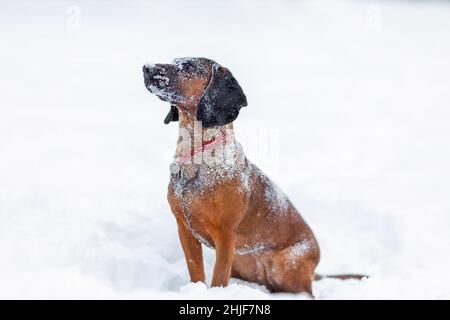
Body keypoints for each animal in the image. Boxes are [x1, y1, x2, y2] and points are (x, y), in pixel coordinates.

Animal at [144, 58, 366, 296]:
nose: (146, 68)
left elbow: (219, 277)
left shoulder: (226, 235)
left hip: (284, 267)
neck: (198, 158)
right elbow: (196, 271)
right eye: (174, 61)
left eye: (189, 67)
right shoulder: (185, 230)